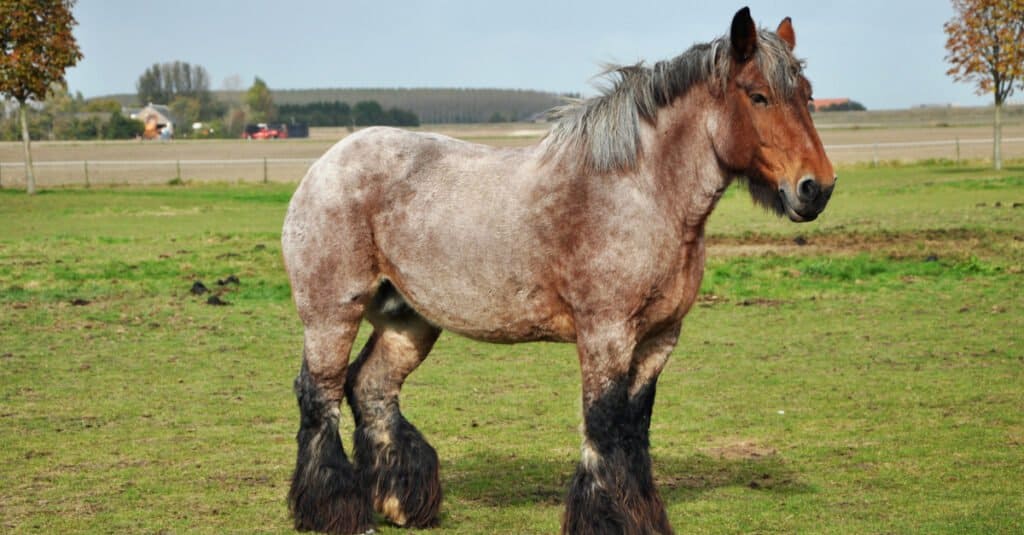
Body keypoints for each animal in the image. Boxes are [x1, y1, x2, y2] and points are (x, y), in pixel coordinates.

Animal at [280, 8, 831, 532]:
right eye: (758, 96)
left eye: (807, 95)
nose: (816, 188)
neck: (641, 193)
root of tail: (324, 166)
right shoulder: (606, 334)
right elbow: (604, 426)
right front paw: (608, 520)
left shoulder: (659, 338)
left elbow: (634, 430)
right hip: (332, 315)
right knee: (320, 396)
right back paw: (335, 512)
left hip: (407, 320)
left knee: (372, 389)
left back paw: (398, 504)